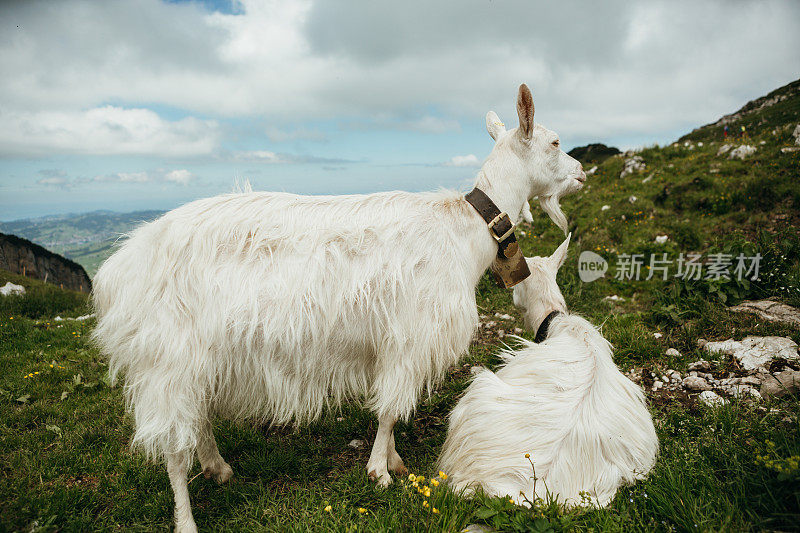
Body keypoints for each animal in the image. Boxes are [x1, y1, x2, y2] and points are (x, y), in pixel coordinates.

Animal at [90, 85, 584, 528]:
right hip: (166, 359)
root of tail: (120, 269)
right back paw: (187, 519)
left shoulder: (386, 343)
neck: (463, 230)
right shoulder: (410, 336)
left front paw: (394, 460)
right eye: (555, 142)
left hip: (194, 361)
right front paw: (380, 471)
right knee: (174, 450)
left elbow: (388, 405)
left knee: (198, 418)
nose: (582, 173)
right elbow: (389, 408)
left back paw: (218, 467)